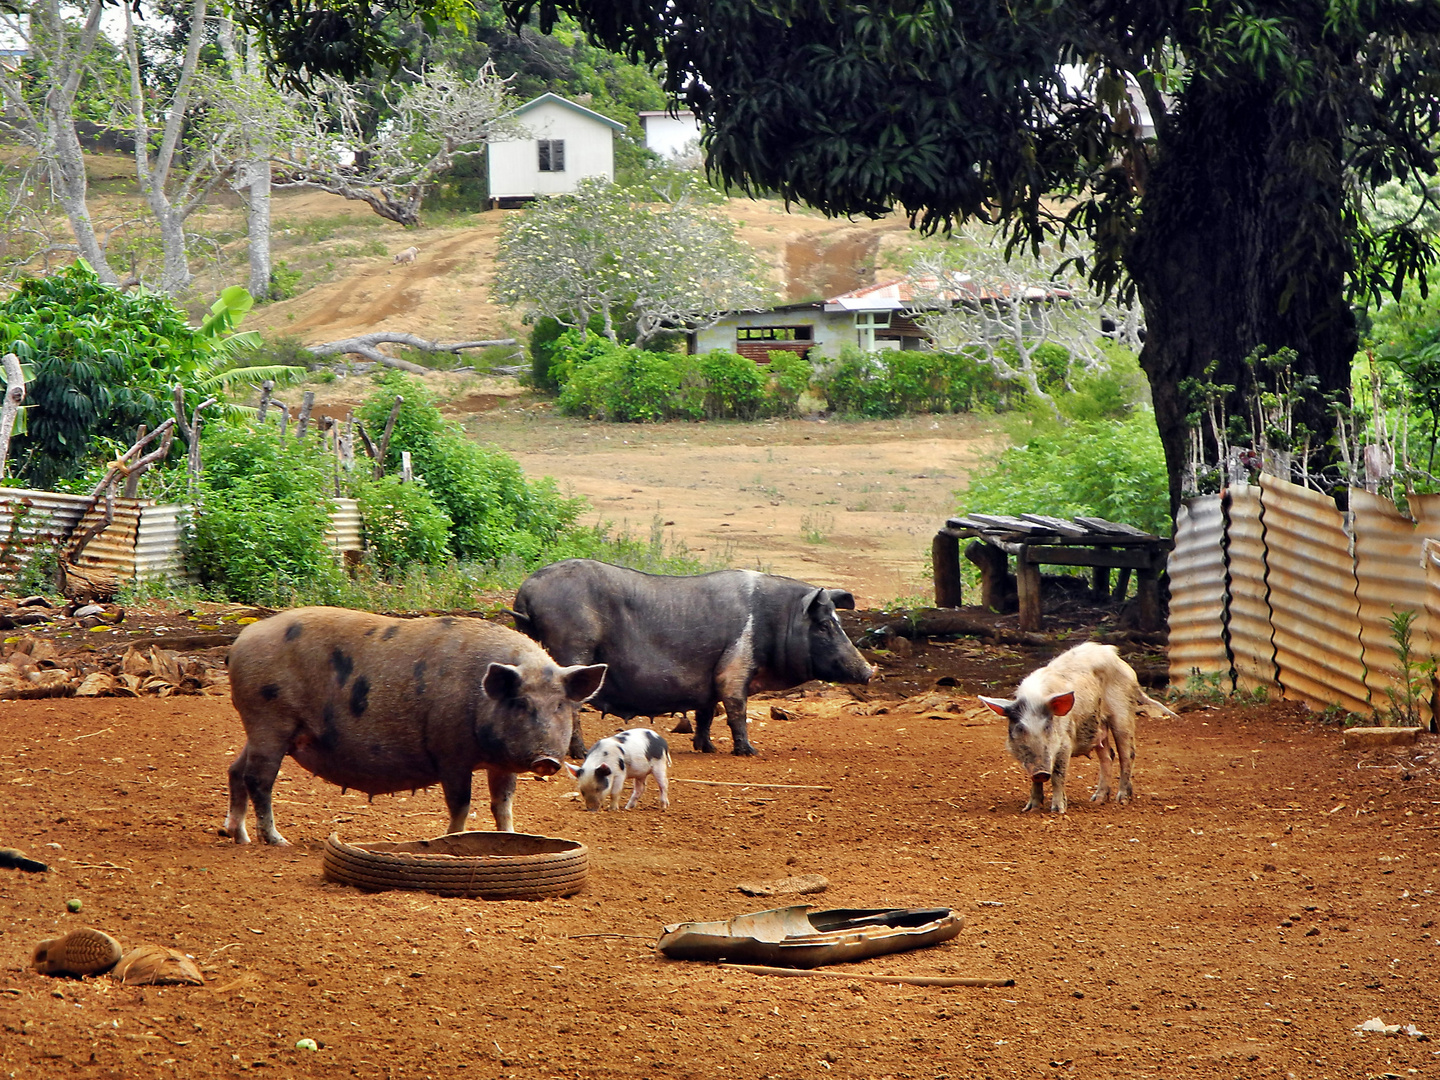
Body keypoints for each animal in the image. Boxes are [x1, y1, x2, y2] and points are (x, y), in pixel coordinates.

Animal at [224, 610, 607, 846]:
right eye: (522, 704)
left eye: (560, 706)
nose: (547, 760)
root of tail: (241, 640)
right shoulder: (449, 753)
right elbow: (461, 803)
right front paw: (450, 839)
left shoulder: (500, 763)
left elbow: (503, 804)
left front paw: (511, 836)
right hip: (269, 721)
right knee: (259, 779)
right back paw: (277, 841)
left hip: (259, 729)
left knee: (235, 770)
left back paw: (236, 835)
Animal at [512, 561, 869, 754]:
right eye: (824, 625)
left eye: (837, 621)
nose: (868, 670)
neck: (777, 620)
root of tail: (527, 593)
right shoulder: (735, 665)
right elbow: (736, 707)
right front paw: (749, 752)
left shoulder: (708, 681)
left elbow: (706, 712)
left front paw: (707, 748)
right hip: (574, 648)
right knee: (570, 706)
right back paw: (580, 752)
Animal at [973, 642, 1175, 812]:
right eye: (1020, 728)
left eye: (1048, 727)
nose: (1041, 772)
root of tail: (1121, 662)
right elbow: (1034, 781)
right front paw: (1030, 809)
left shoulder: (1065, 744)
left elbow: (1058, 775)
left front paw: (1058, 810)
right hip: (1097, 725)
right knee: (1108, 756)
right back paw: (1097, 800)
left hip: (1123, 712)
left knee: (1127, 754)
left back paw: (1122, 800)